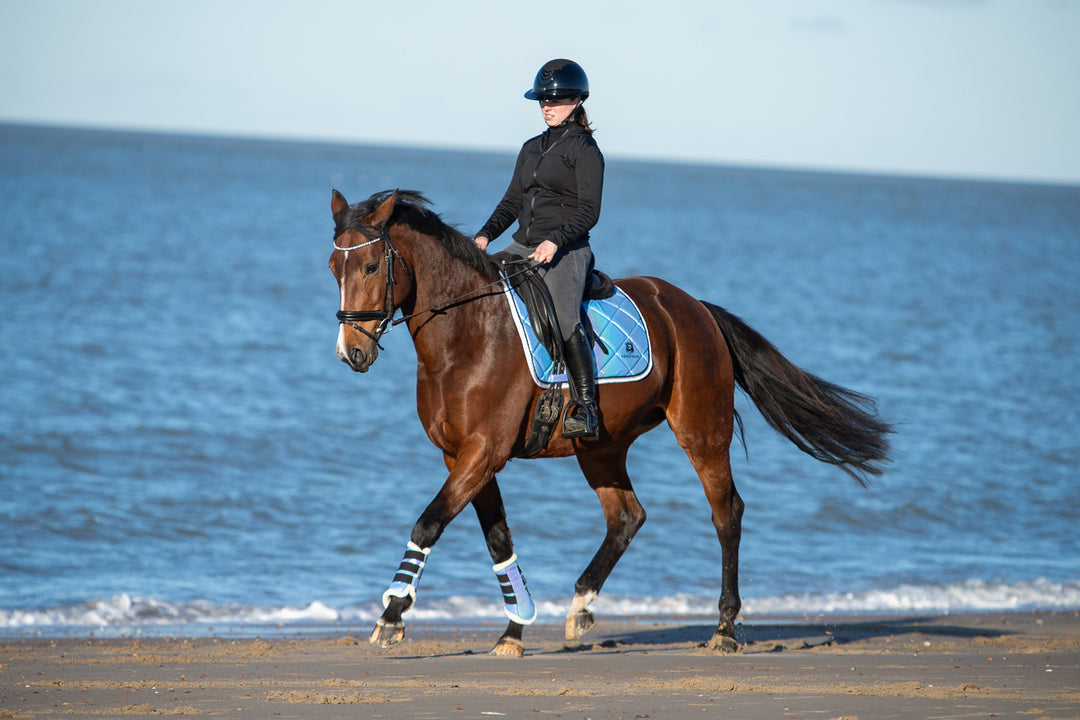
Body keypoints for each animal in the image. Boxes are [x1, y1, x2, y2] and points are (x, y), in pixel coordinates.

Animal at [328, 188, 894, 656]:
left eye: (372, 266)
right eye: (335, 266)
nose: (351, 353)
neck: (467, 335)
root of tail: (695, 307)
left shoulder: (483, 452)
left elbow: (428, 522)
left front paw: (391, 616)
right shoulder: (464, 456)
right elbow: (498, 540)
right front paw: (514, 629)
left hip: (702, 433)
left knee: (726, 513)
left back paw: (724, 629)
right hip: (600, 446)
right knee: (627, 517)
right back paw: (580, 607)